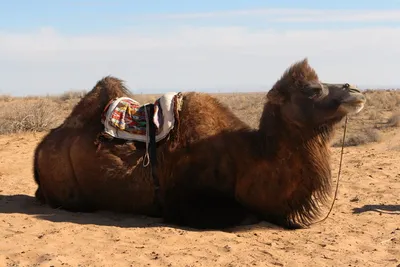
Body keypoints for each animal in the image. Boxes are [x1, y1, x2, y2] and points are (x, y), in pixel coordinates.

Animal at [33, 58, 366, 230]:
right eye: (312, 90)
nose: (355, 90)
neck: (247, 157)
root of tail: (40, 149)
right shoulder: (185, 201)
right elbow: (244, 214)